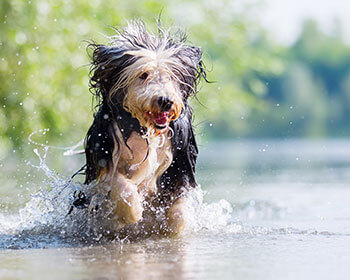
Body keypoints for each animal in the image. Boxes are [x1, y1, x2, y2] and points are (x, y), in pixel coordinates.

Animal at [74, 21, 205, 236]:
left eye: (170, 76)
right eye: (143, 75)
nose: (165, 101)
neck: (145, 129)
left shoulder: (180, 163)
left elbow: (179, 207)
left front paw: (173, 226)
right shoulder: (106, 153)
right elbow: (120, 184)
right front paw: (131, 212)